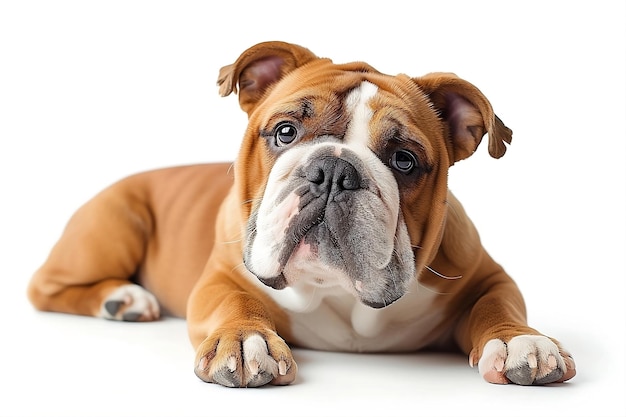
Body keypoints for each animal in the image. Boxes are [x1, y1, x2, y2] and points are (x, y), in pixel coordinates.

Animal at [28, 40, 576, 386]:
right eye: (285, 132)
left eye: (404, 160)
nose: (333, 171)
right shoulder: (221, 278)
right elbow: (233, 303)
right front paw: (244, 340)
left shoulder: (488, 277)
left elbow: (498, 308)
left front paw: (521, 343)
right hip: (116, 224)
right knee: (44, 289)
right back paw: (121, 299)